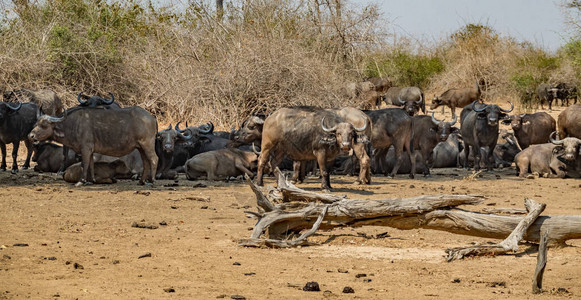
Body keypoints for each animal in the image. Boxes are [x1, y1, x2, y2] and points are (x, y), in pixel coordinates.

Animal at [28, 105, 157, 185]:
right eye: (36, 123)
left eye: (44, 125)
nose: (31, 136)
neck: (73, 125)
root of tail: (151, 117)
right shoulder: (90, 151)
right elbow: (91, 164)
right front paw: (91, 180)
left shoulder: (85, 149)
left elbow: (84, 164)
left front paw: (81, 181)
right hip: (140, 147)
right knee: (146, 162)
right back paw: (141, 181)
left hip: (147, 144)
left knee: (154, 159)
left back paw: (152, 180)